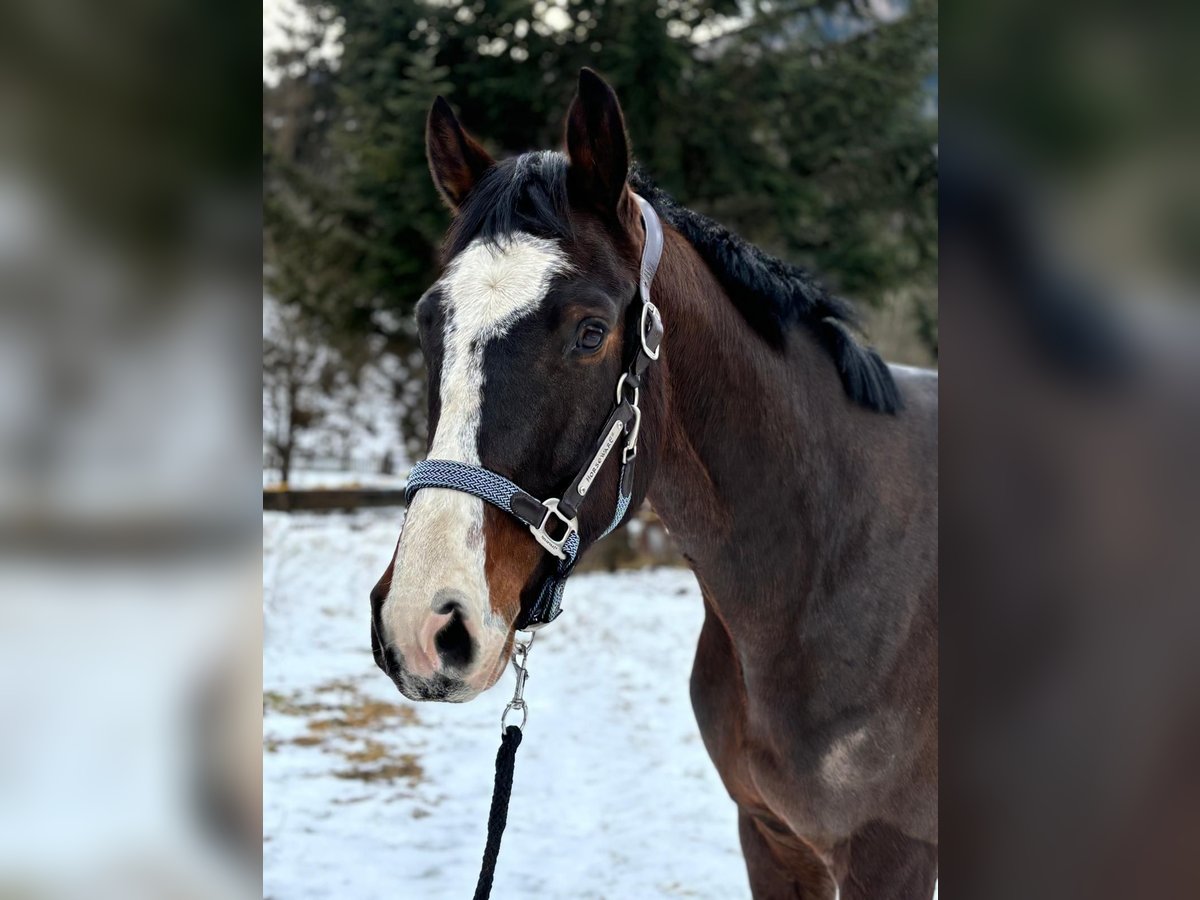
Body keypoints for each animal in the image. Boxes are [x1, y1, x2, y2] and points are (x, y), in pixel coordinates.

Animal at [367, 66, 936, 897]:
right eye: (425, 323)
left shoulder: (890, 854)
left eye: (590, 332)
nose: (423, 624)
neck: (826, 564)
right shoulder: (771, 838)